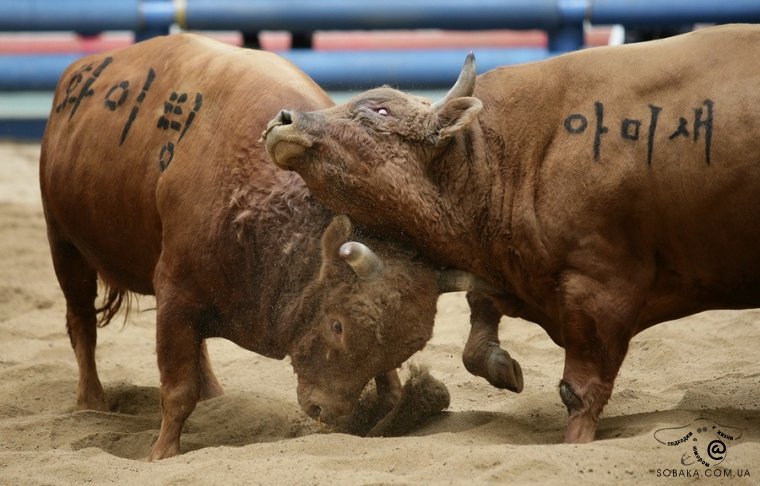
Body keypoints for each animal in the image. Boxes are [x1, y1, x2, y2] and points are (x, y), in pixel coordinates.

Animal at [41, 34, 496, 460]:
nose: (326, 411)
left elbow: (390, 389)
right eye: (337, 326)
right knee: (81, 323)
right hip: (65, 248)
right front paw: (162, 453)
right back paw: (91, 402)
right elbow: (177, 391)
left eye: (402, 349)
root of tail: (75, 75)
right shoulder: (174, 294)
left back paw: (214, 394)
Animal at [266, 25, 760, 444]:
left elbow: (580, 390)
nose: (284, 120)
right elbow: (479, 319)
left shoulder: (601, 290)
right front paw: (502, 367)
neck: (517, 156)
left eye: (380, 109)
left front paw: (574, 443)